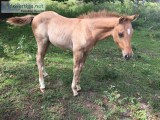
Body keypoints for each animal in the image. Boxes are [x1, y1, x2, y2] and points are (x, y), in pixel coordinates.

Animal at [6, 10, 138, 96]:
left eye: (132, 33)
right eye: (120, 33)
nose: (128, 55)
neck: (88, 30)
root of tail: (36, 16)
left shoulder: (86, 52)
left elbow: (81, 68)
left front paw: (78, 87)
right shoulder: (77, 51)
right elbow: (76, 68)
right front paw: (74, 90)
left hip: (47, 43)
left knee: (42, 58)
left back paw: (45, 74)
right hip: (41, 41)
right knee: (38, 58)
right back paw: (42, 85)